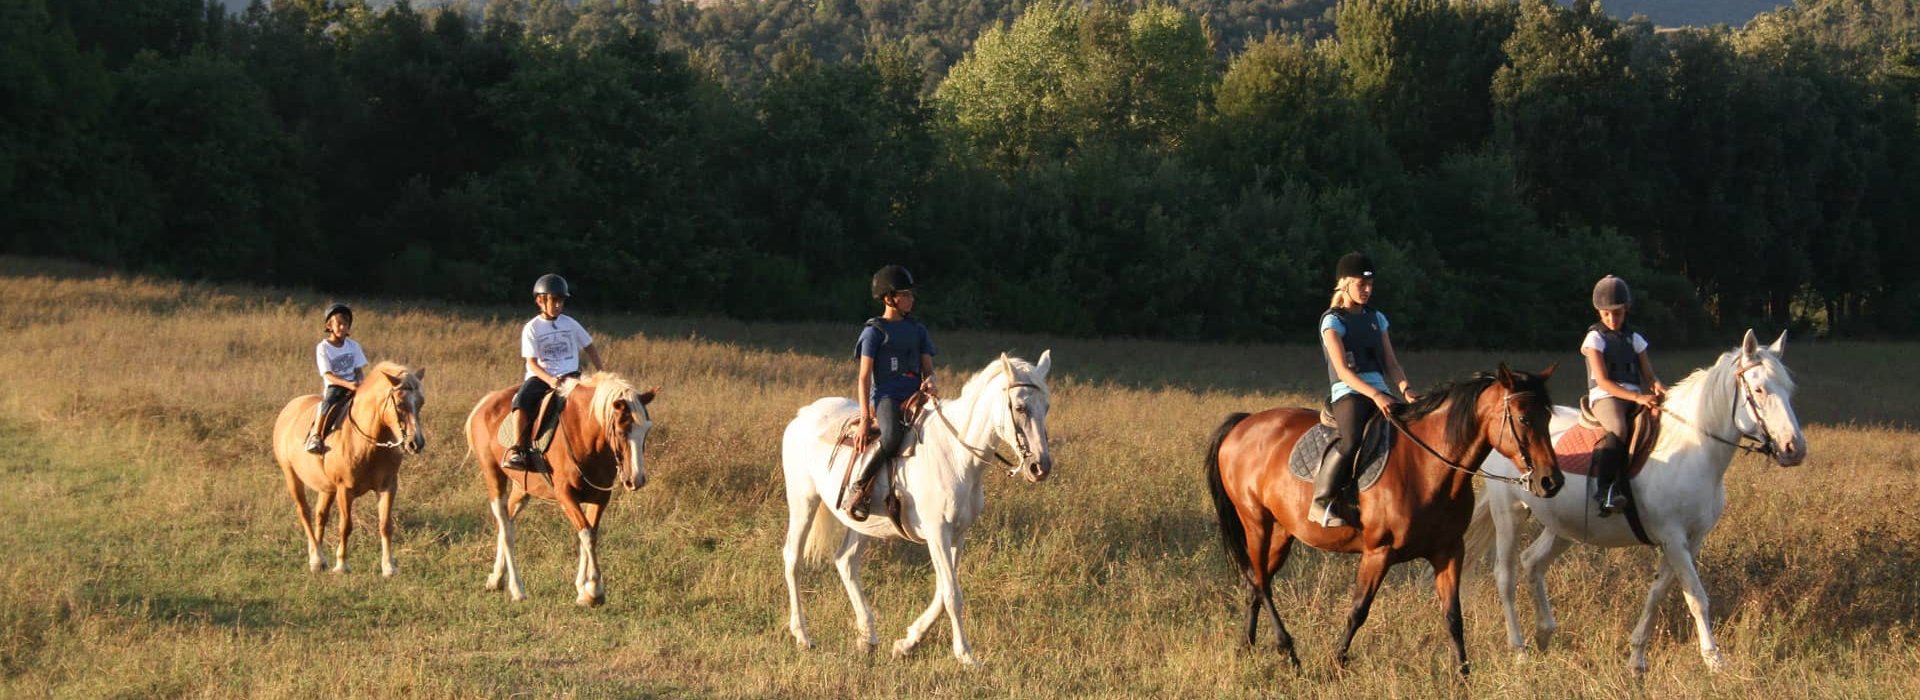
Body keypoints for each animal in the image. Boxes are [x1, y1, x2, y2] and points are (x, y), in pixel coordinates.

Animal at [270, 360, 428, 571]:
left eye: (421, 402)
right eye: (401, 404)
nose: (416, 443)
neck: (368, 443)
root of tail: (289, 408)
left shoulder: (388, 486)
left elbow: (385, 525)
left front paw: (388, 567)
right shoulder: (345, 490)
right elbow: (346, 526)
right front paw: (342, 565)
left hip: (326, 488)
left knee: (320, 515)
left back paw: (317, 558)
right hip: (291, 475)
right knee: (304, 512)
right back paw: (317, 558)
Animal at [460, 370, 656, 606]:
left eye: (646, 430)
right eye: (621, 430)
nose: (636, 479)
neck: (584, 432)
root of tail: (485, 403)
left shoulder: (599, 496)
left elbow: (589, 534)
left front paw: (583, 590)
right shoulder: (565, 495)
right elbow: (586, 534)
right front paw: (594, 591)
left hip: (522, 488)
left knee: (506, 520)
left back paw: (496, 579)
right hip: (493, 474)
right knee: (506, 528)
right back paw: (517, 589)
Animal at [779, 350, 1059, 663]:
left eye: (1046, 406)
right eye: (1020, 407)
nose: (1040, 467)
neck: (955, 455)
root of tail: (802, 415)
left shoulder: (957, 534)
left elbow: (942, 592)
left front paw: (907, 642)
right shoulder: (937, 533)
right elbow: (952, 594)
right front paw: (965, 655)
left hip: (862, 522)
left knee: (846, 561)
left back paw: (867, 637)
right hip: (803, 501)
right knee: (793, 558)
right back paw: (803, 636)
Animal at [1205, 362, 1566, 675]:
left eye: (1548, 416)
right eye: (1523, 417)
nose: (1551, 481)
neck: (1427, 467)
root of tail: (1244, 424)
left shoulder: (1449, 551)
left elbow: (1453, 615)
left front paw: (1463, 675)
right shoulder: (1378, 552)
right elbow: (1358, 611)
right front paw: (1335, 664)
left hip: (1283, 530)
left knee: (1255, 581)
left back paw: (1245, 646)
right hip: (1256, 521)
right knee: (1260, 581)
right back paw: (1288, 651)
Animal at [1466, 329, 1797, 667]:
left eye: (1788, 389)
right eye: (1759, 389)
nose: (1793, 448)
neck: (1691, 448)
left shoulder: (1690, 540)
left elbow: (1658, 593)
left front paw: (1637, 658)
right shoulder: (1673, 538)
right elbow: (1696, 597)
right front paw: (1714, 660)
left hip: (1564, 528)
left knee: (1532, 561)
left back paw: (1544, 634)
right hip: (1509, 514)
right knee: (1505, 576)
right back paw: (1519, 650)